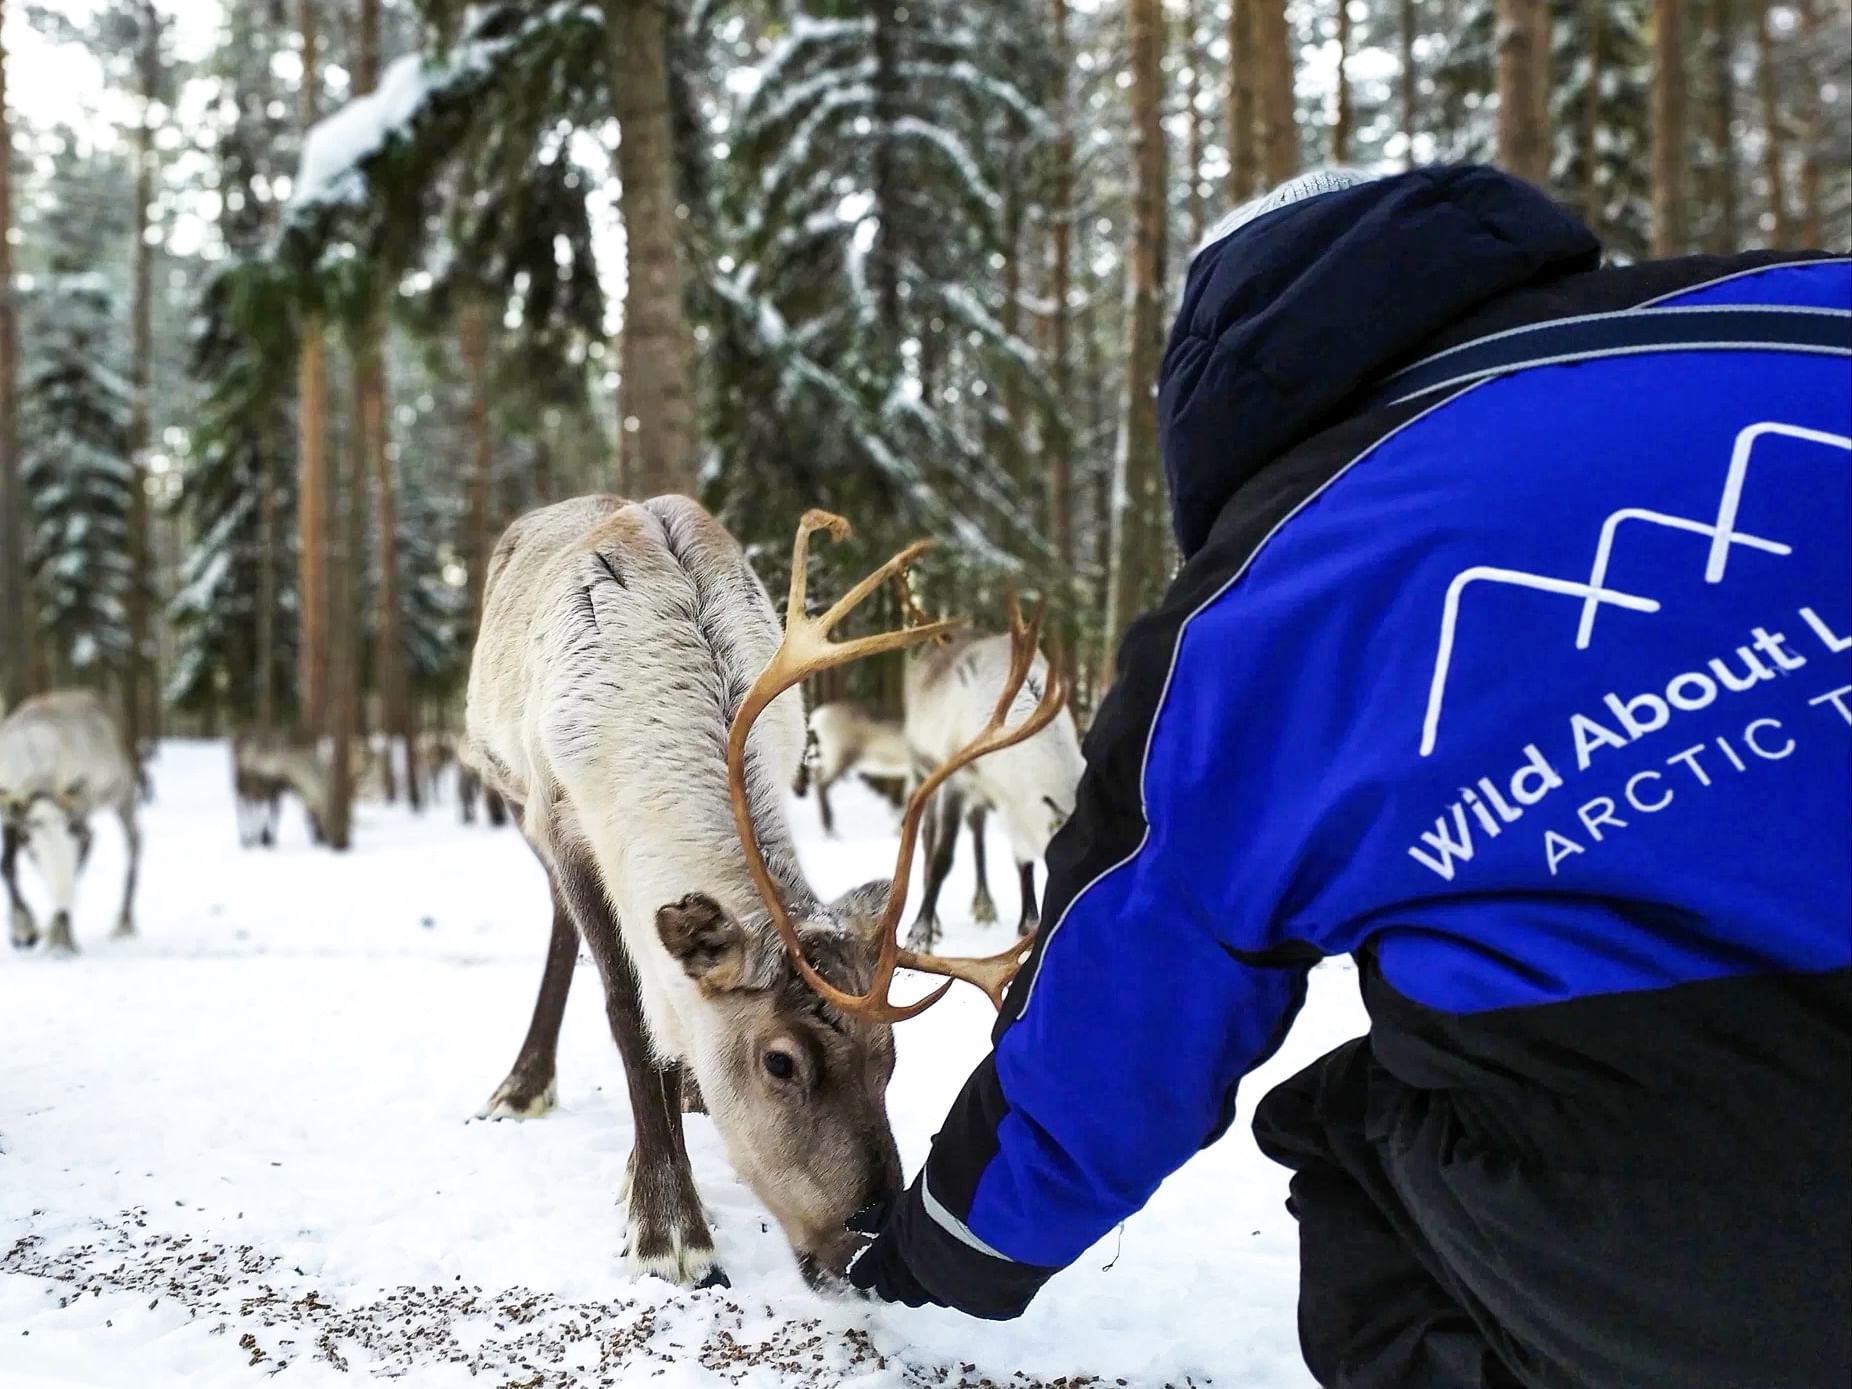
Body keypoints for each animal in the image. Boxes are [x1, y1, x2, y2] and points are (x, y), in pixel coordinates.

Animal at [1, 690, 142, 954]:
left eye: (70, 830)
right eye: (31, 833)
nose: (64, 895)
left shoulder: (81, 820)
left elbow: (76, 868)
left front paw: (61, 939)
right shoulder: (11, 821)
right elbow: (7, 866)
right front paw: (24, 929)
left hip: (124, 795)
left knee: (135, 843)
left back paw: (124, 923)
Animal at [463, 495, 1063, 1289]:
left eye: (891, 1056)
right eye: (780, 1061)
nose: (866, 1241)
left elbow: (666, 1014)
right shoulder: (559, 816)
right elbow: (629, 1013)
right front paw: (668, 1227)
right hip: (508, 788)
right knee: (566, 931)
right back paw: (524, 1085)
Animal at [903, 630, 1085, 951]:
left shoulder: (1013, 801)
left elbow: (1023, 861)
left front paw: (1029, 923)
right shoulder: (957, 781)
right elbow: (942, 857)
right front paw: (919, 934)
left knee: (977, 832)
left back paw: (984, 906)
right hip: (923, 771)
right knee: (926, 835)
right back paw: (934, 923)